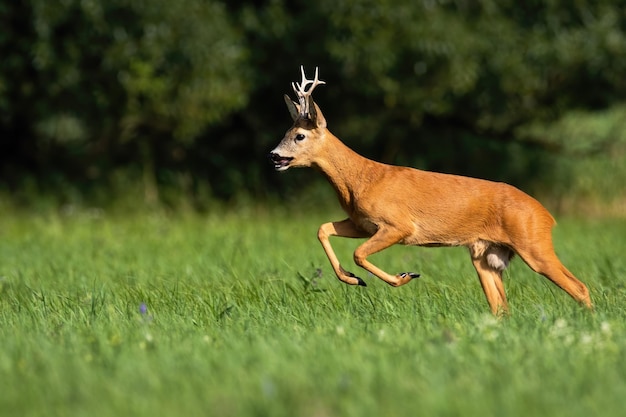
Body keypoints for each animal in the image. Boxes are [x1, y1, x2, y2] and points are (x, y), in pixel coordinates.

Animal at [268, 65, 588, 314]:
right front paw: (352, 279)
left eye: (299, 135)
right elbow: (322, 229)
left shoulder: (398, 225)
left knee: (579, 287)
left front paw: (403, 277)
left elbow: (359, 253)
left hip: (533, 242)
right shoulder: (362, 223)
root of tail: (547, 215)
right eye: (286, 132)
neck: (361, 180)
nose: (273, 155)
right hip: (486, 254)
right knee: (501, 307)